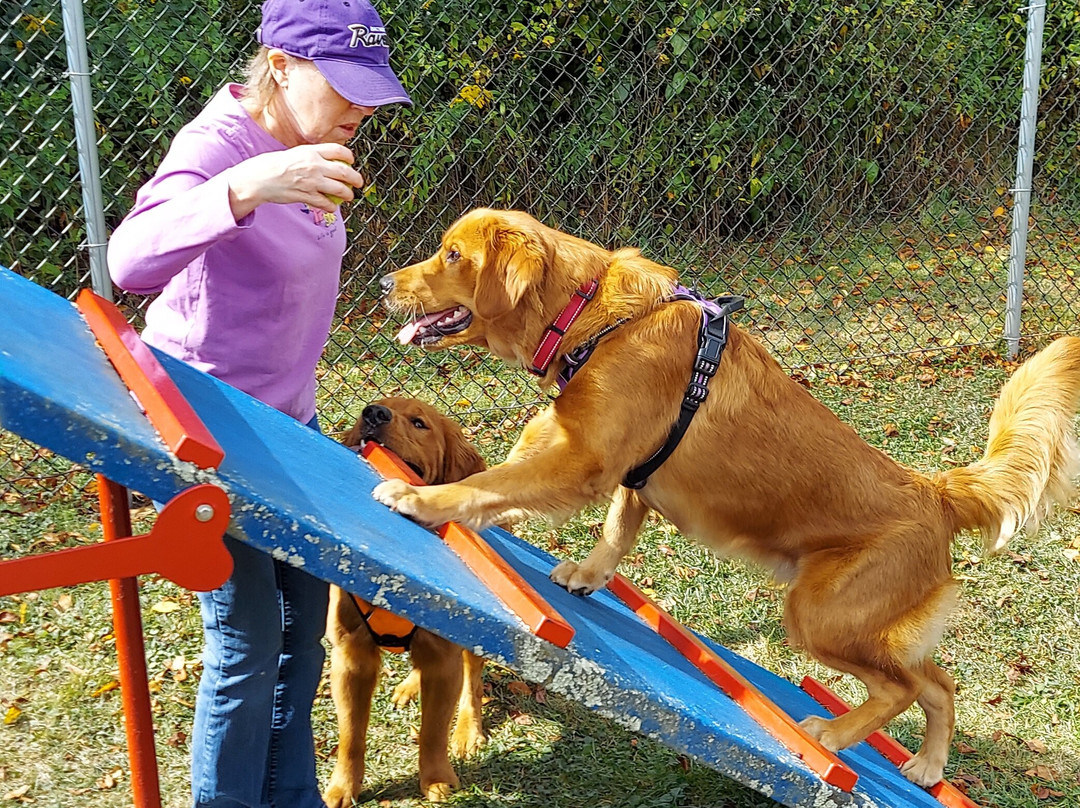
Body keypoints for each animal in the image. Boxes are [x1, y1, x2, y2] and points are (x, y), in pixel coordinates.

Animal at [321, 395, 488, 803]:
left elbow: (433, 731)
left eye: (419, 423)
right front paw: (343, 786)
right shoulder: (351, 657)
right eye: (377, 405)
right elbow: (351, 734)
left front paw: (436, 779)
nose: (373, 413)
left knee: (472, 680)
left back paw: (468, 729)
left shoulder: (443, 658)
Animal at [369, 205, 1080, 786]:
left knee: (903, 688)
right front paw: (584, 575)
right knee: (940, 682)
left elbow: (488, 486)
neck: (590, 317)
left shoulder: (584, 463)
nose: (382, 283)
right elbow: (608, 530)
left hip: (821, 615)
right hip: (864, 625)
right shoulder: (627, 474)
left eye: (453, 255)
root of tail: (935, 491)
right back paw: (929, 765)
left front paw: (424, 500)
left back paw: (832, 735)